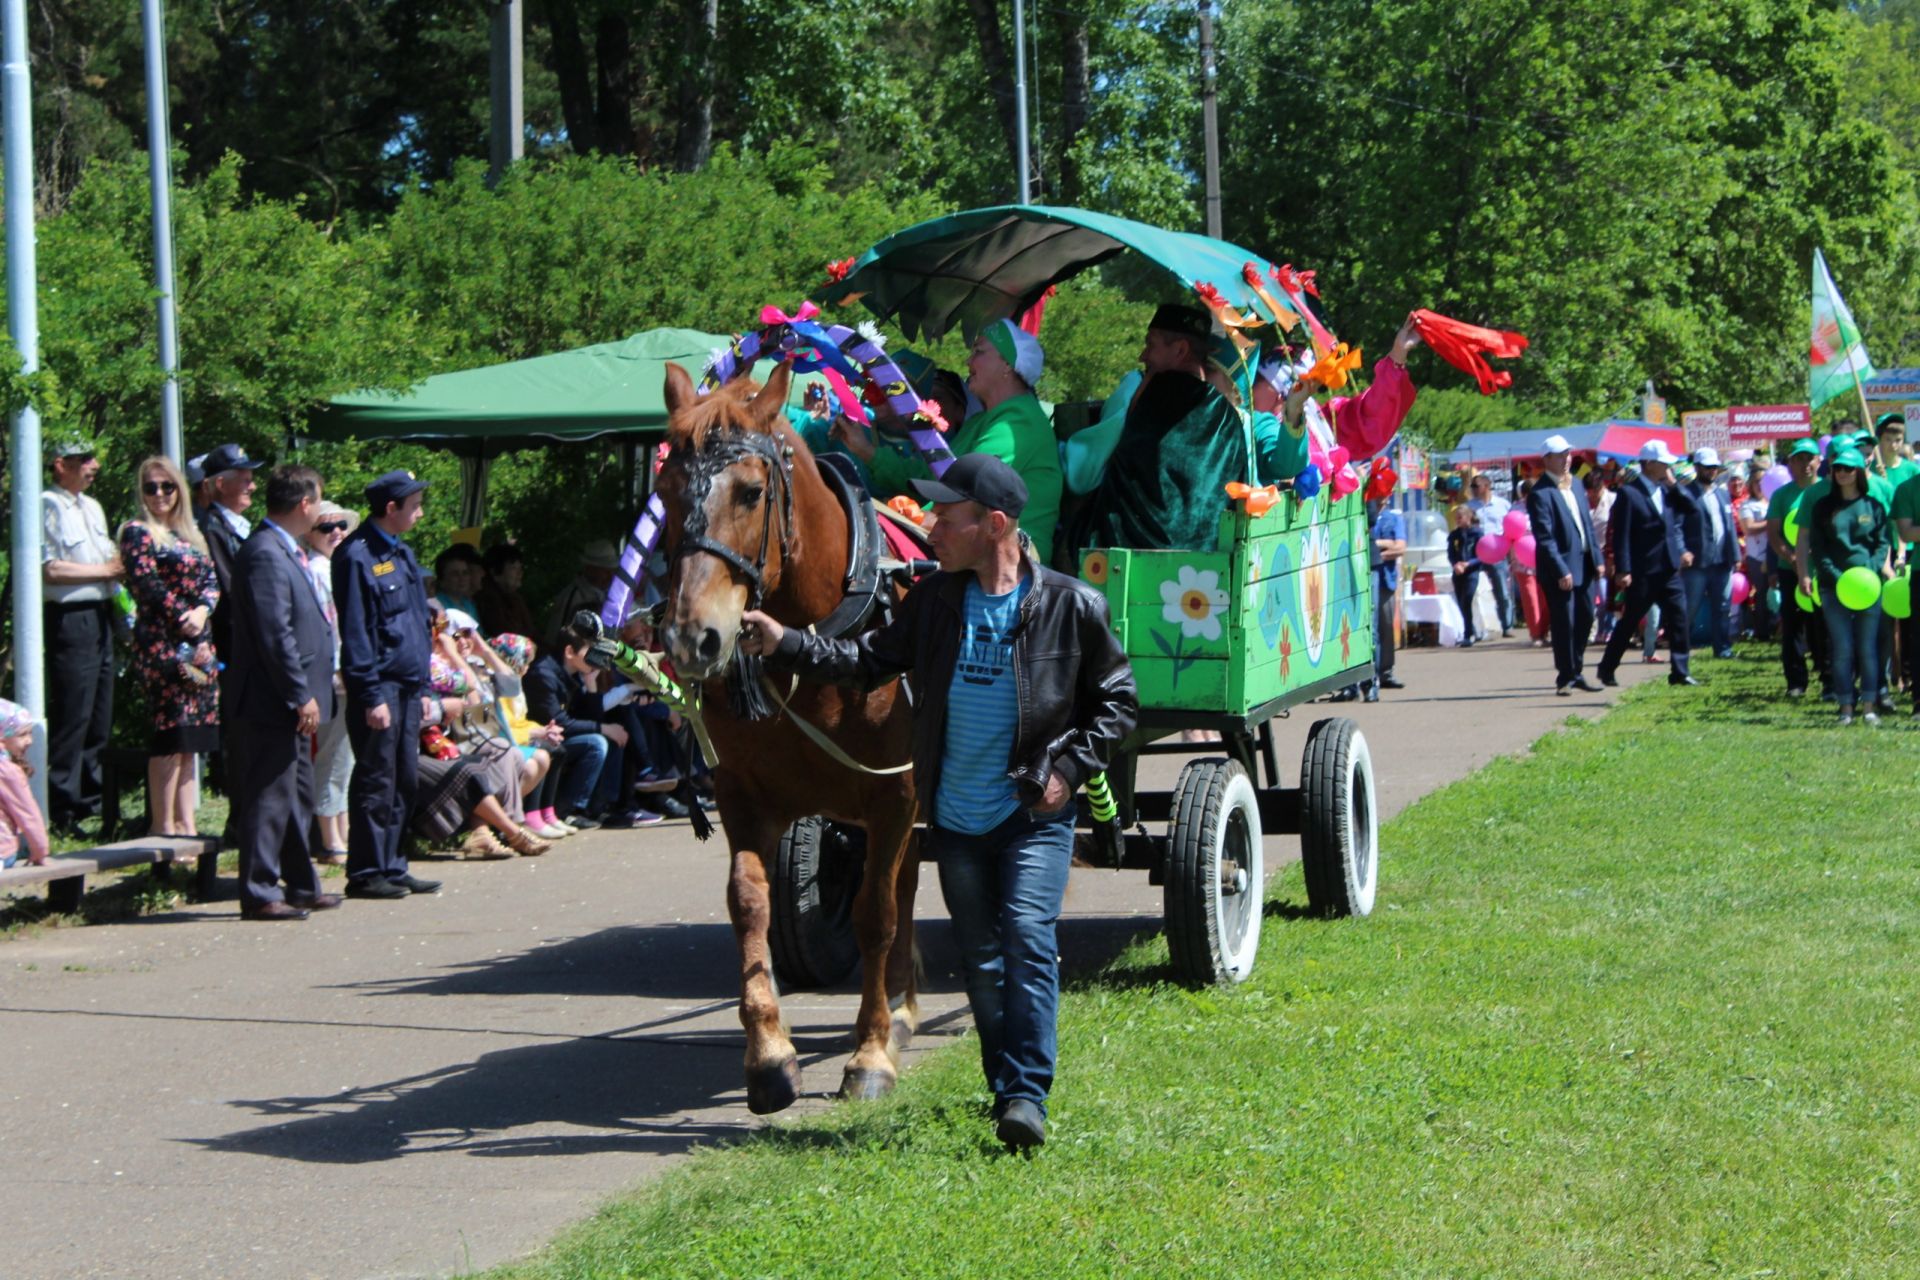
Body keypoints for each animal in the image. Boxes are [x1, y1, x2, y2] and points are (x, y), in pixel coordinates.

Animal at [656, 358, 917, 1113]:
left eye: (750, 492)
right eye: (664, 491)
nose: (692, 638)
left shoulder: (896, 794)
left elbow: (875, 914)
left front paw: (869, 1052)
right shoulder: (744, 796)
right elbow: (749, 905)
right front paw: (770, 1053)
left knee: (901, 890)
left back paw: (897, 1012)